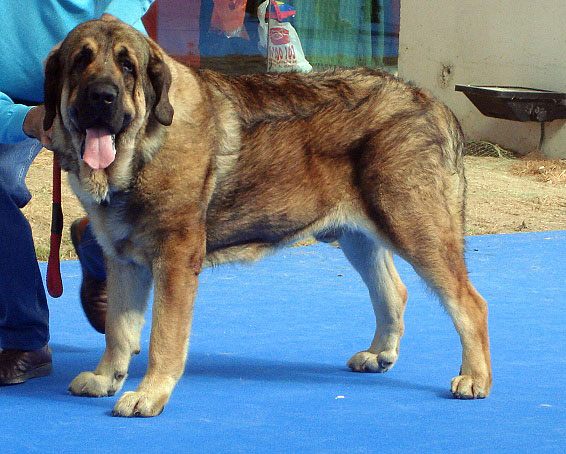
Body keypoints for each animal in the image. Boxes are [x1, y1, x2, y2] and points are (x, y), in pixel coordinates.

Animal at [43, 16, 492, 414]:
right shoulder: (124, 260)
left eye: (128, 66)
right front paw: (105, 378)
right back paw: (379, 354)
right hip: (358, 238)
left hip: (416, 230)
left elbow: (163, 337)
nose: (102, 96)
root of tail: (433, 104)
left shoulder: (174, 262)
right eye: (81, 61)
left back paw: (475, 378)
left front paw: (149, 395)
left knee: (470, 303)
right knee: (393, 292)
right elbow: (119, 330)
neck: (143, 149)